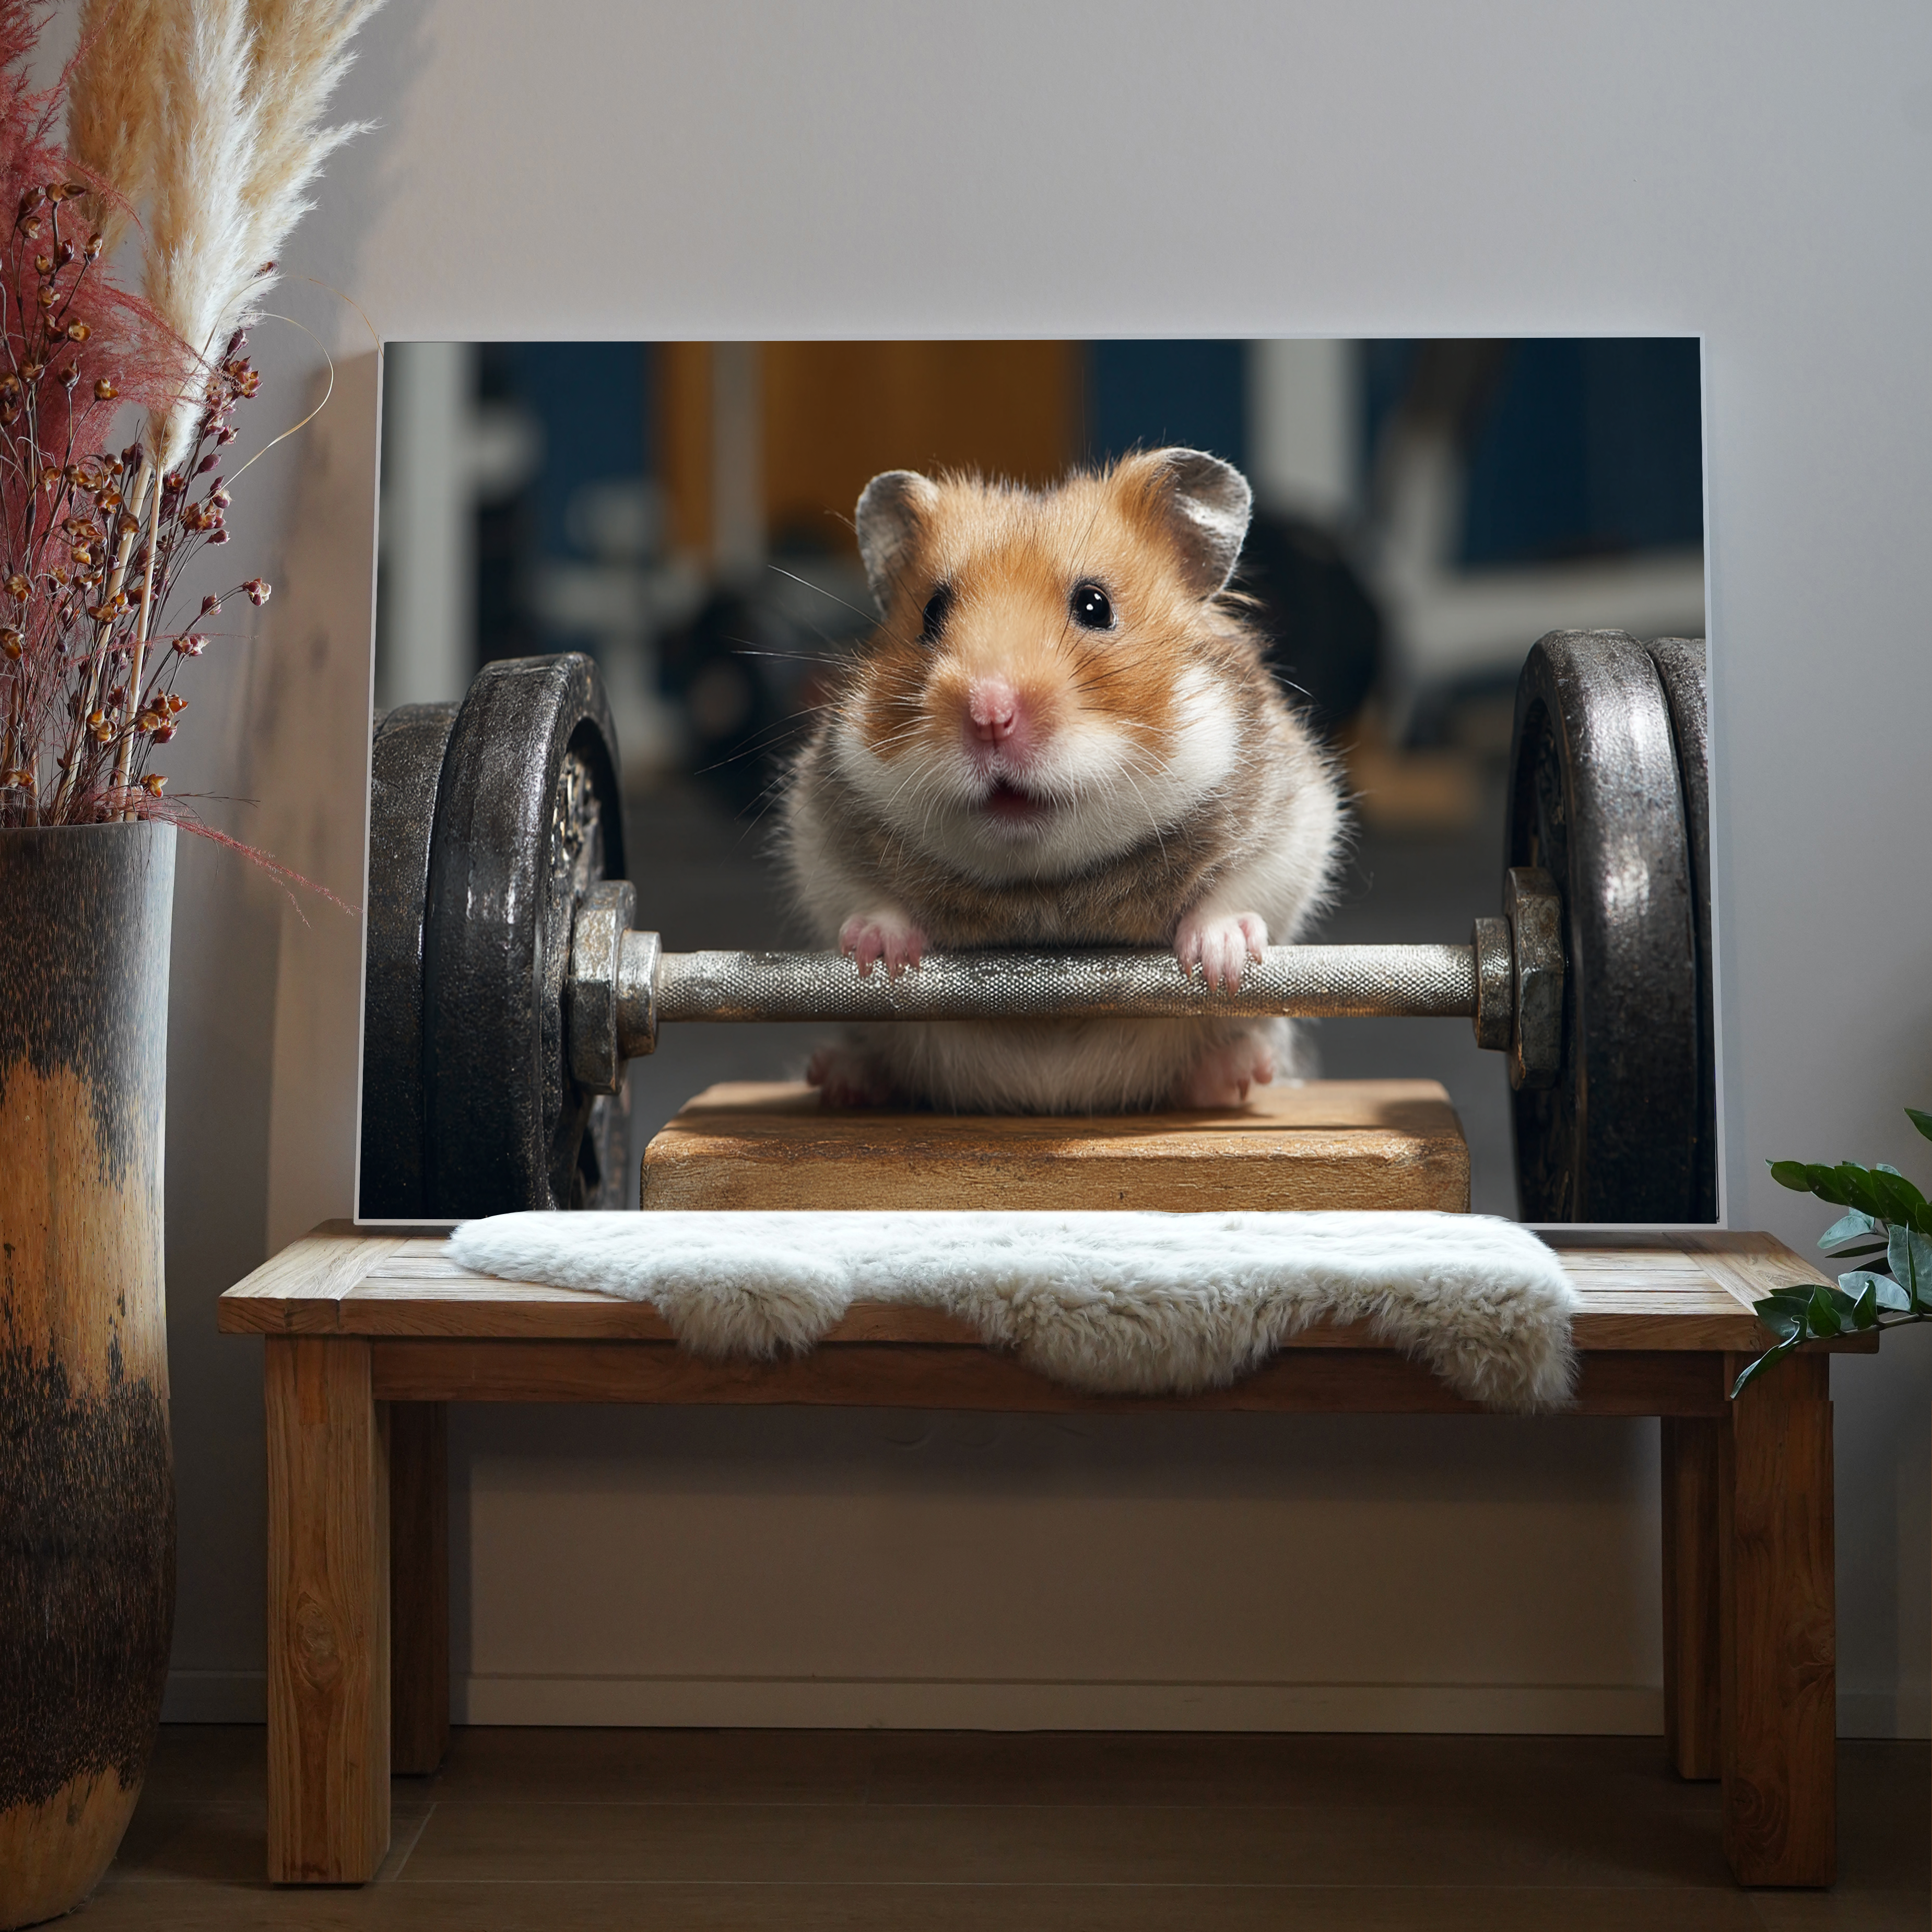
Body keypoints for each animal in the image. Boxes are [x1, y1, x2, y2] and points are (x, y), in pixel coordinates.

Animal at [778, 447, 1345, 1112]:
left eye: (1095, 606)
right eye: (931, 612)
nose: (989, 714)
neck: (1043, 883)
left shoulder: (1294, 817)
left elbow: (1242, 892)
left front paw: (1220, 963)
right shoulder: (819, 830)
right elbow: (862, 898)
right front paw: (877, 957)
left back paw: (1236, 1071)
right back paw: (840, 1076)